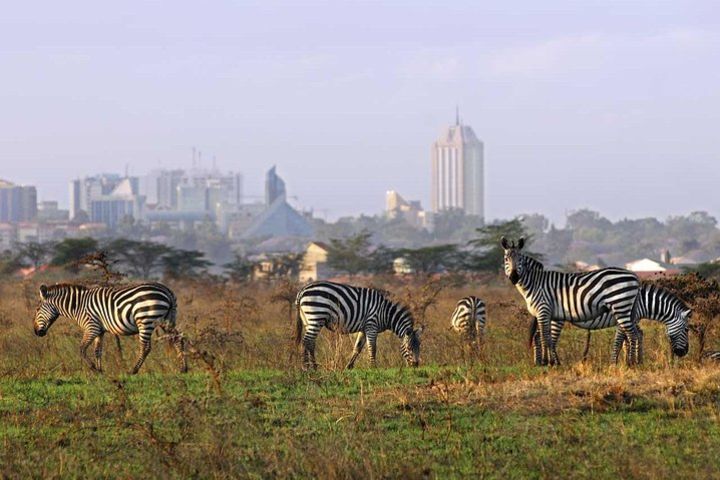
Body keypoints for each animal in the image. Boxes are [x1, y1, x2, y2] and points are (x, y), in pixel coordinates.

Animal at [33, 282, 186, 376]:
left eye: (37, 309)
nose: (36, 332)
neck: (78, 306)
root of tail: (167, 290)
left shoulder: (92, 327)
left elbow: (82, 349)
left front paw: (94, 369)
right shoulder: (99, 330)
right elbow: (97, 351)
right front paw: (101, 371)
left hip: (145, 320)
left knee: (145, 347)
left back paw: (133, 371)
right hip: (166, 320)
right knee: (178, 338)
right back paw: (183, 368)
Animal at [500, 238, 640, 366]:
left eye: (520, 260)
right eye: (506, 259)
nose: (514, 277)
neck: (535, 283)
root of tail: (634, 276)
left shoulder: (543, 310)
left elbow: (545, 337)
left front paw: (547, 362)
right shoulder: (548, 314)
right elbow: (547, 338)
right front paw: (551, 362)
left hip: (620, 306)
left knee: (632, 335)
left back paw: (631, 363)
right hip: (625, 309)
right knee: (633, 334)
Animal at [528, 282, 692, 364]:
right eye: (687, 330)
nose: (684, 353)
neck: (643, 301)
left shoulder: (632, 320)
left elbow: (634, 337)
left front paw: (635, 361)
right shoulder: (624, 319)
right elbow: (620, 340)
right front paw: (616, 363)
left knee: (538, 336)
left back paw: (538, 362)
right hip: (557, 319)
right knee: (548, 338)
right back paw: (553, 363)